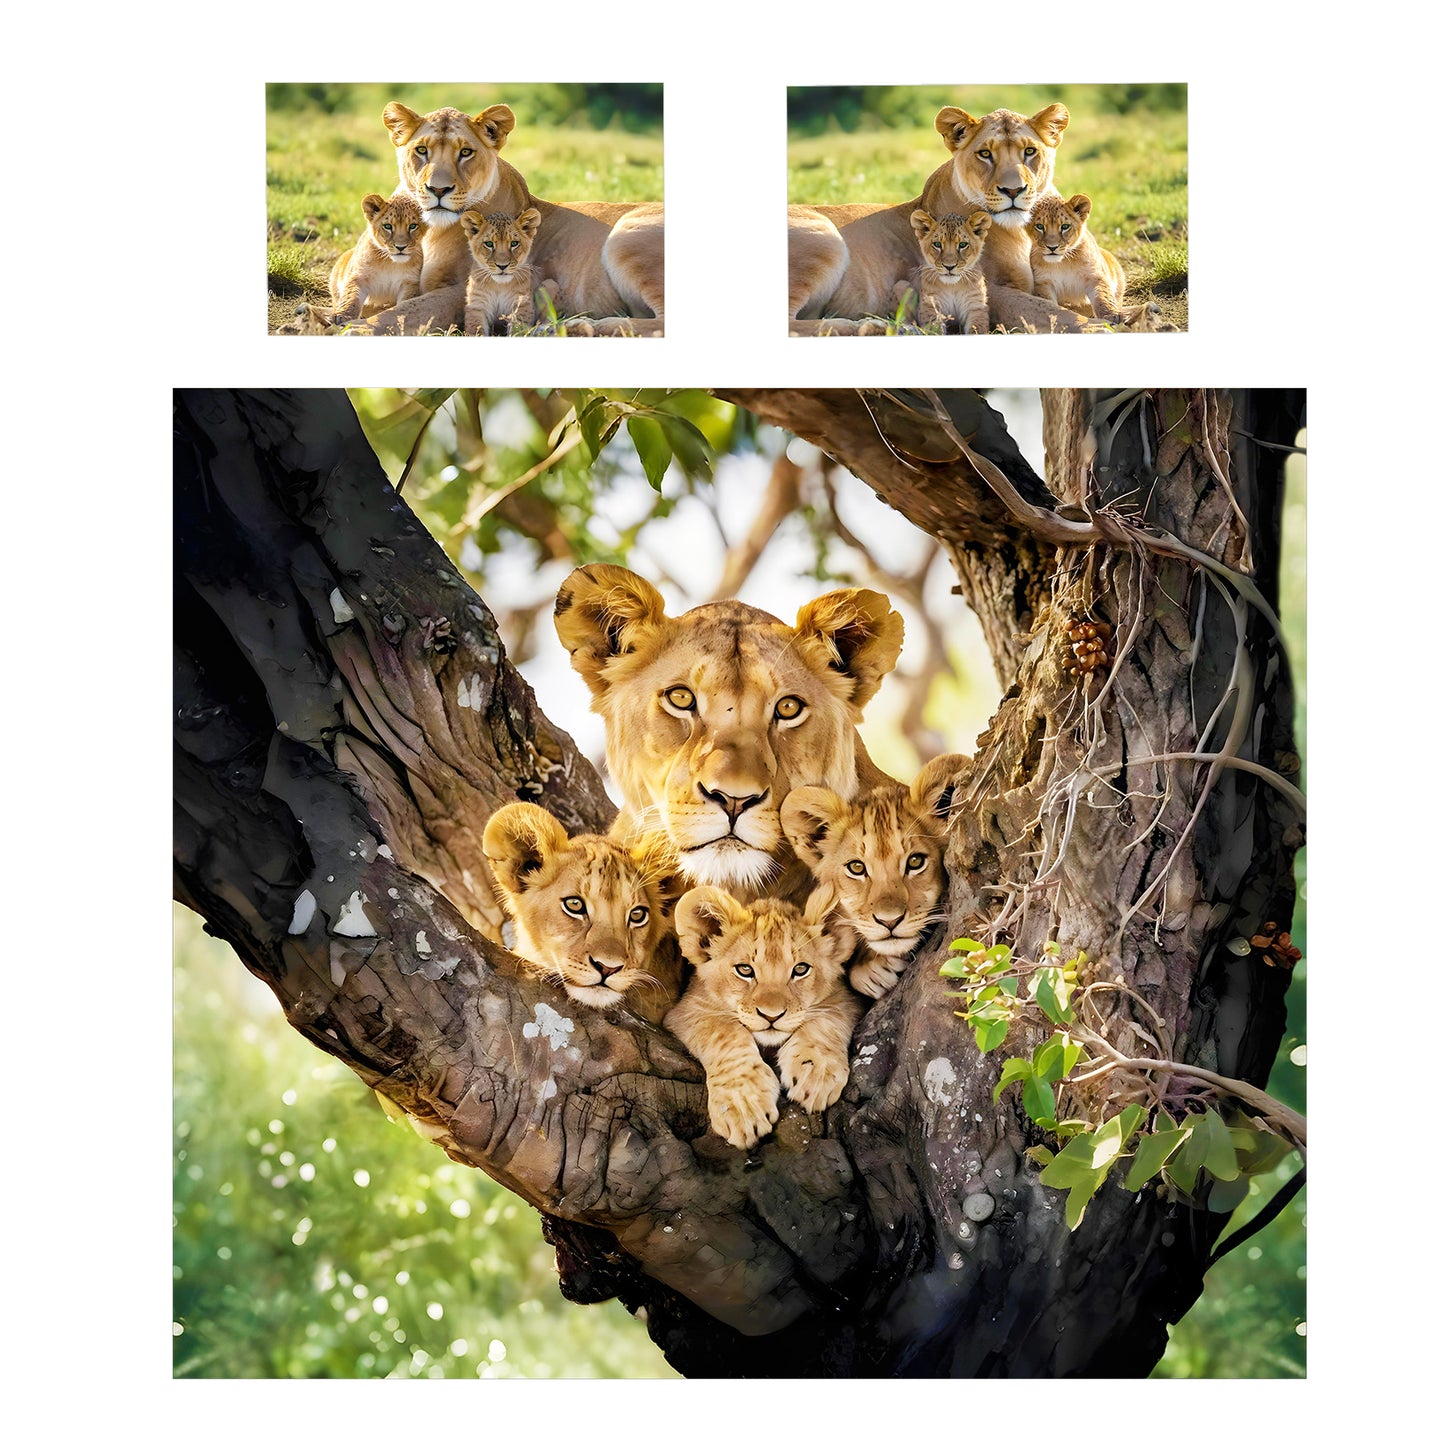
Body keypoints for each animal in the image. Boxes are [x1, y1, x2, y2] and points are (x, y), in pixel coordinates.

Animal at [326, 193, 424, 324]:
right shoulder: (359, 277)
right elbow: (351, 296)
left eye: (413, 226)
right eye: (387, 226)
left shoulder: (410, 283)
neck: (390, 263)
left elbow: (405, 303)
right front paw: (342, 315)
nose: (400, 247)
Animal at [350, 104, 663, 336]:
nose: (438, 190)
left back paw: (581, 326)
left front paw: (355, 329)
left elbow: (404, 313)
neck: (430, 231)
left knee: (659, 325)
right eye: (421, 150)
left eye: (466, 152)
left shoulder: (464, 290)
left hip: (625, 237)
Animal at [667, 888, 862, 1149]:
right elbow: (724, 1030)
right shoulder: (685, 1009)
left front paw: (816, 1074)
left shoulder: (845, 999)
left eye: (800, 970)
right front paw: (743, 1105)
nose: (772, 1015)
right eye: (745, 970)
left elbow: (825, 1020)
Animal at [788, 104, 1093, 335]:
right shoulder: (989, 290)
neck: (1021, 231)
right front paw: (1095, 328)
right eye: (985, 154)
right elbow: (1054, 314)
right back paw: (871, 326)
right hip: (825, 239)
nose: (1013, 190)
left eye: (1030, 151)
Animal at [1029, 193, 1127, 323]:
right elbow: (1048, 303)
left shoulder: (1095, 276)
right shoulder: (1043, 282)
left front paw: (1111, 315)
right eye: (1039, 226)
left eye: (1065, 226)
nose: (1052, 247)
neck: (1062, 263)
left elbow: (1102, 295)